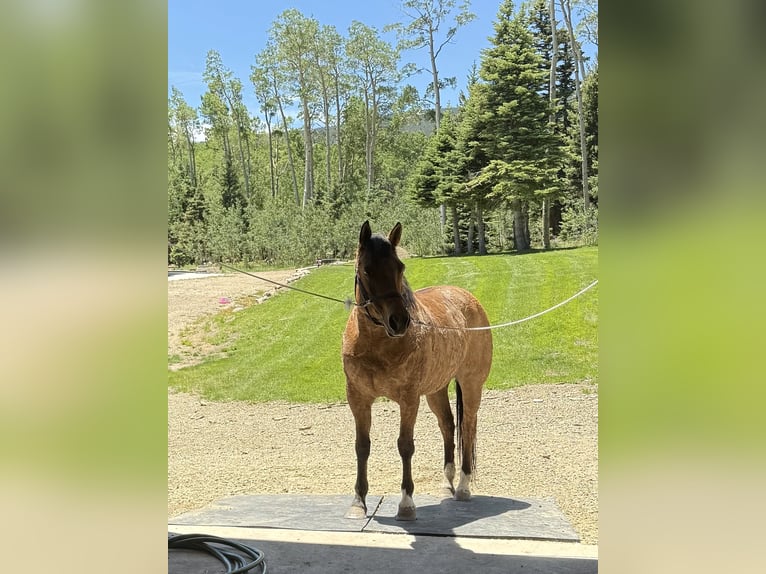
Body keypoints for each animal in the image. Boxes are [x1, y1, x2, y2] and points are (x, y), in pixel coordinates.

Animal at [342, 221, 493, 521]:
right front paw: (358, 503)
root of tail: (467, 299)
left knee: (467, 427)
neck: (375, 345)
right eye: (367, 269)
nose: (399, 321)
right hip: (436, 390)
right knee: (448, 425)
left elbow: (405, 445)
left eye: (400, 267)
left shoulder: (408, 399)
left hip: (471, 384)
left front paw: (406, 503)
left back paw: (463, 487)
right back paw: (446, 484)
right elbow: (362, 446)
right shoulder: (358, 399)